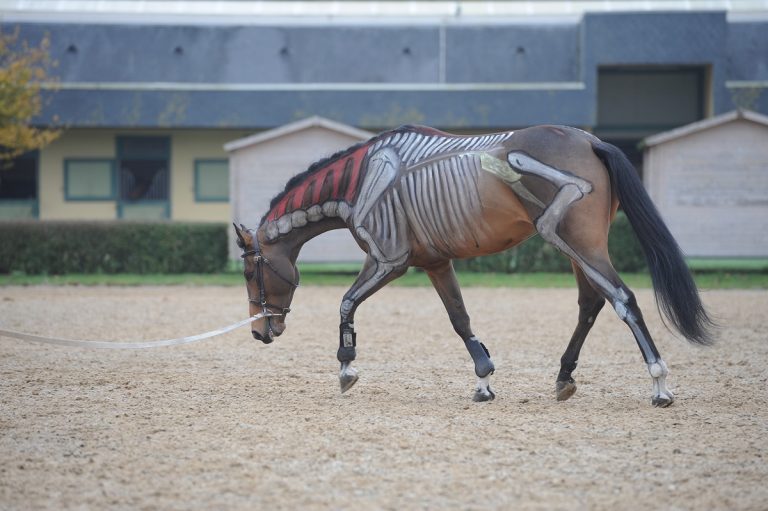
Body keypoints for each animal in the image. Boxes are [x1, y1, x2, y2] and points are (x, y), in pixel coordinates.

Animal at [233, 124, 714, 407]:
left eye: (249, 272)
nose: (259, 331)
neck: (365, 178)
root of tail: (590, 140)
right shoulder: (435, 262)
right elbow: (460, 318)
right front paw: (483, 379)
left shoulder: (388, 261)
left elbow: (347, 304)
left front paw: (347, 366)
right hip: (580, 249)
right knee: (590, 306)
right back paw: (563, 377)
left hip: (576, 242)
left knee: (622, 300)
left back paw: (659, 383)